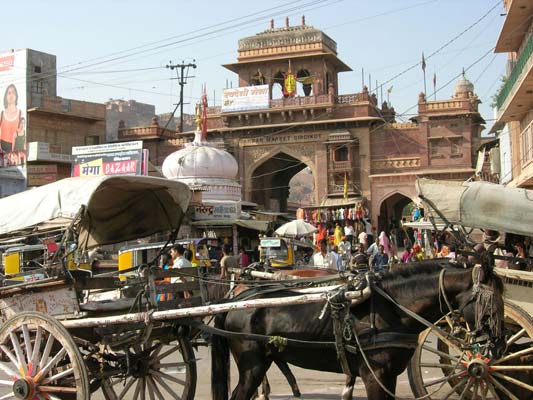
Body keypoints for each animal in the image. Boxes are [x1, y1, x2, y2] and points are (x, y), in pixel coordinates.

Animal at [209, 260, 502, 400]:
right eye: (491, 302)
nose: (498, 346)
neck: (394, 307)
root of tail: (236, 298)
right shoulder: (375, 373)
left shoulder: (388, 375)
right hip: (252, 363)